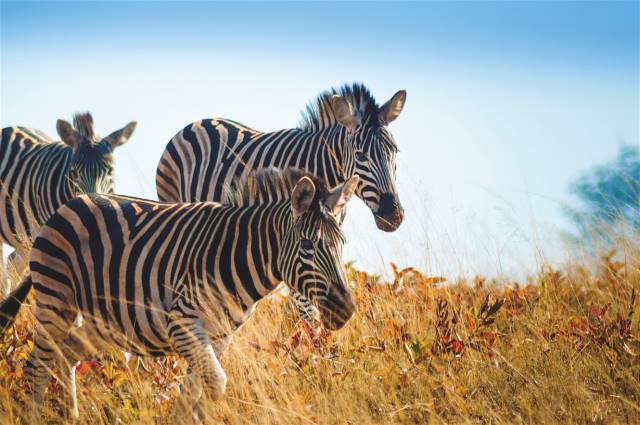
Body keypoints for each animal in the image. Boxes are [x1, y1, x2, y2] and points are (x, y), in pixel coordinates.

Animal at [0, 166, 360, 420]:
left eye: (343, 243)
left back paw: (71, 415)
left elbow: (193, 395)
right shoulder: (183, 322)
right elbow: (215, 385)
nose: (346, 309)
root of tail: (70, 203)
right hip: (56, 298)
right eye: (308, 245)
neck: (236, 255)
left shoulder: (220, 335)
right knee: (37, 366)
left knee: (67, 352)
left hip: (107, 321)